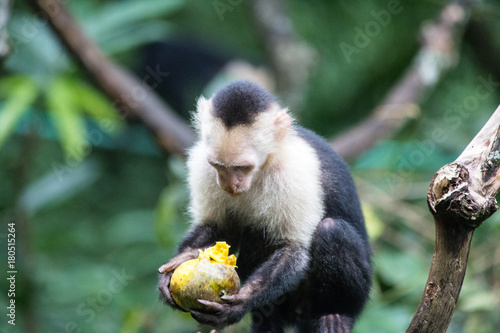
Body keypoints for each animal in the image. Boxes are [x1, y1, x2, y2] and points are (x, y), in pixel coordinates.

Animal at [158, 80, 374, 330]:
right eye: (219, 166)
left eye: (242, 167)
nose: (231, 185)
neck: (262, 168)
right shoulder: (202, 164)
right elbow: (221, 228)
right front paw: (181, 260)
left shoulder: (293, 171)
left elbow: (294, 249)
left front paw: (240, 304)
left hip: (360, 293)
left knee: (331, 230)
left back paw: (336, 315)